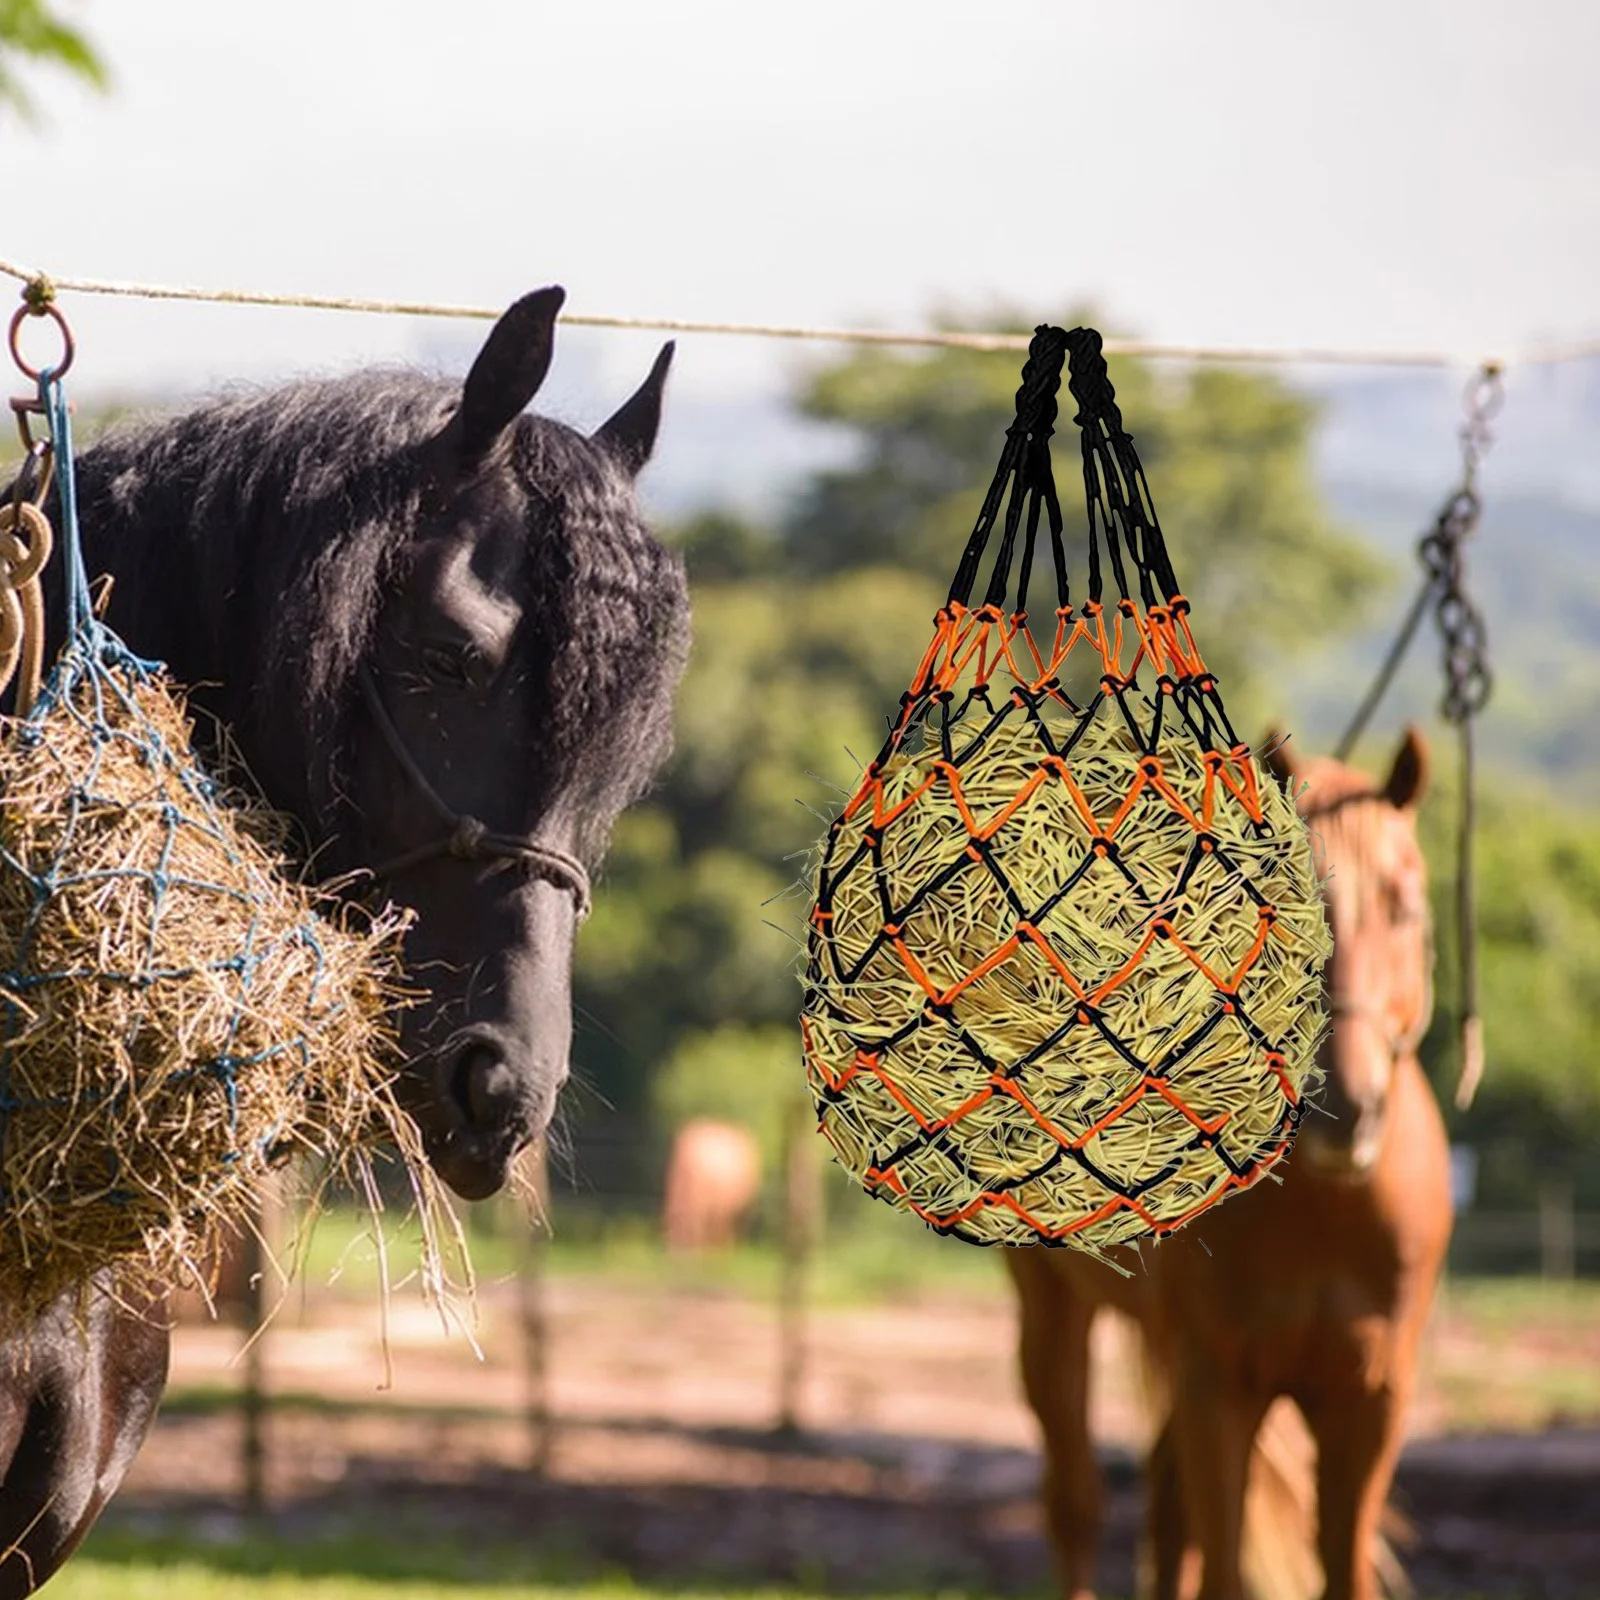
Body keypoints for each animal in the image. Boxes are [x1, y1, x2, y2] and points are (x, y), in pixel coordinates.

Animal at [1006, 726, 1453, 1600]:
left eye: (1408, 907)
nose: (1347, 1105)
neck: (1325, 1215)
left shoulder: (1370, 1401)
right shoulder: (1218, 1384)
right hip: (1052, 1308)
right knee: (1075, 1498)